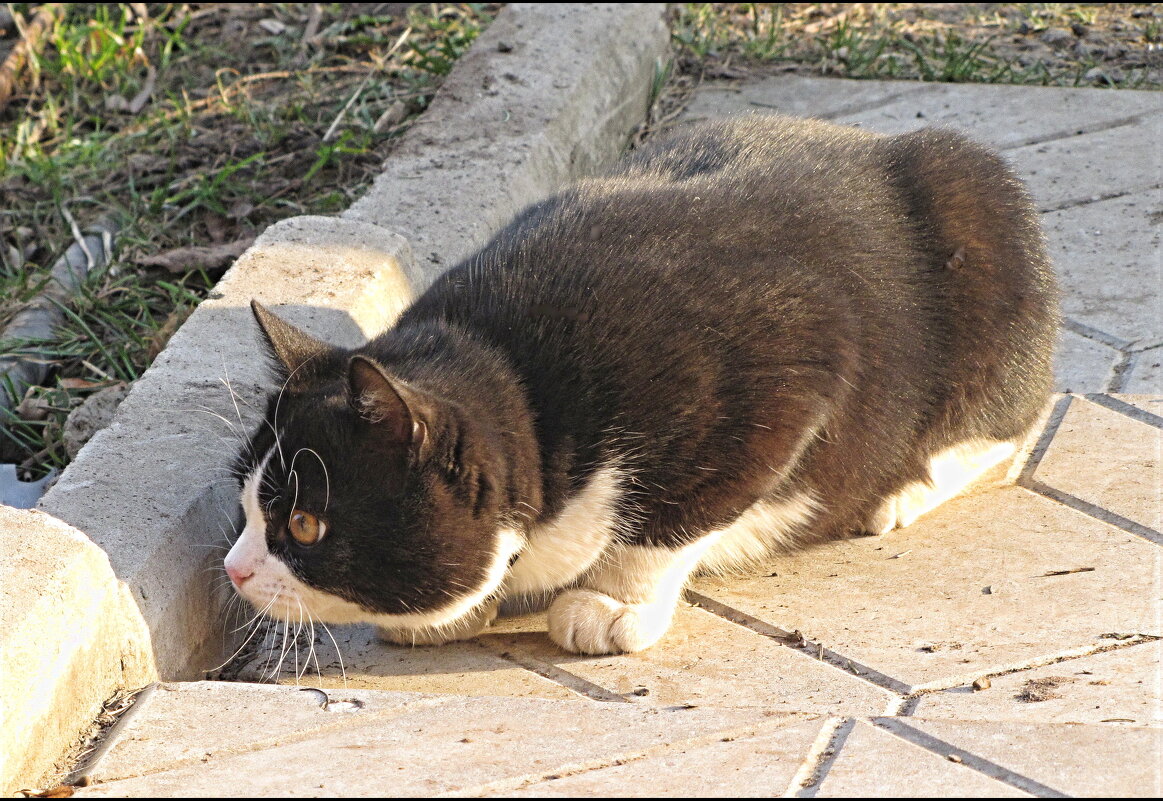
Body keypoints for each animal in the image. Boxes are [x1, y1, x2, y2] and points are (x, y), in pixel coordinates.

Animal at [222, 115, 1060, 651]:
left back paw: (903, 492)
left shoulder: (786, 365)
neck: (522, 387)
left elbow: (672, 515)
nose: (233, 568)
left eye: (304, 525)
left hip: (980, 211)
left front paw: (610, 602)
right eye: (245, 504)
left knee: (1014, 420)